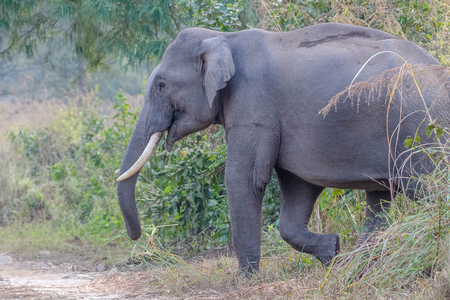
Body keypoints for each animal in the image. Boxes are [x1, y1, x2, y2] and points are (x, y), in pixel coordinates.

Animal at [116, 23, 450, 274]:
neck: (223, 37)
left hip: (417, 131)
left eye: (161, 85)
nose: (137, 237)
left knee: (428, 188)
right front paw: (332, 251)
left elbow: (243, 179)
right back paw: (359, 263)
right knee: (379, 198)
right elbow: (296, 189)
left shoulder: (253, 107)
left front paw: (246, 278)